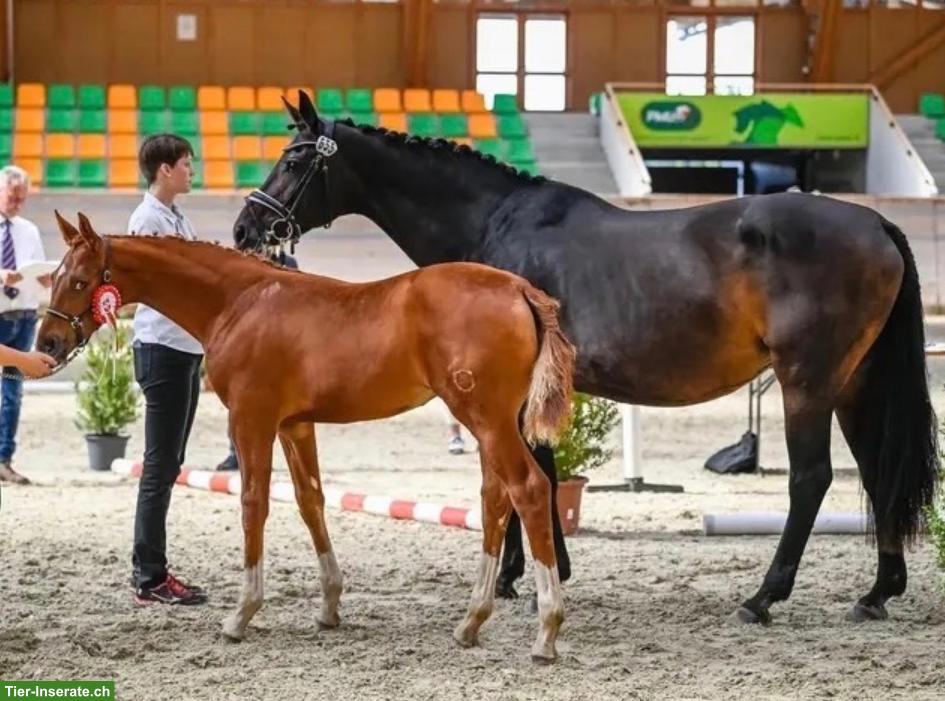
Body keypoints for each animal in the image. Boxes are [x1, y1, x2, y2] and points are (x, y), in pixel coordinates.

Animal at [37, 212, 576, 662]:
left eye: (80, 281)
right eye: (53, 278)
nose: (48, 343)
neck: (238, 302)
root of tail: (519, 289)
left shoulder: (251, 419)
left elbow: (253, 502)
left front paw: (242, 613)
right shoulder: (294, 424)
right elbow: (309, 500)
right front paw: (329, 607)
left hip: (486, 420)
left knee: (528, 490)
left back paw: (546, 631)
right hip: (492, 423)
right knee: (495, 500)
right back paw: (471, 622)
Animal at [233, 91, 940, 627]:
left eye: (294, 160)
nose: (245, 229)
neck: (496, 225)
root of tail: (876, 224)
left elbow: (526, 476)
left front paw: (532, 577)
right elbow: (533, 474)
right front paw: (528, 575)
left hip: (806, 381)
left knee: (811, 479)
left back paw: (763, 597)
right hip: (854, 384)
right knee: (875, 472)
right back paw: (877, 594)